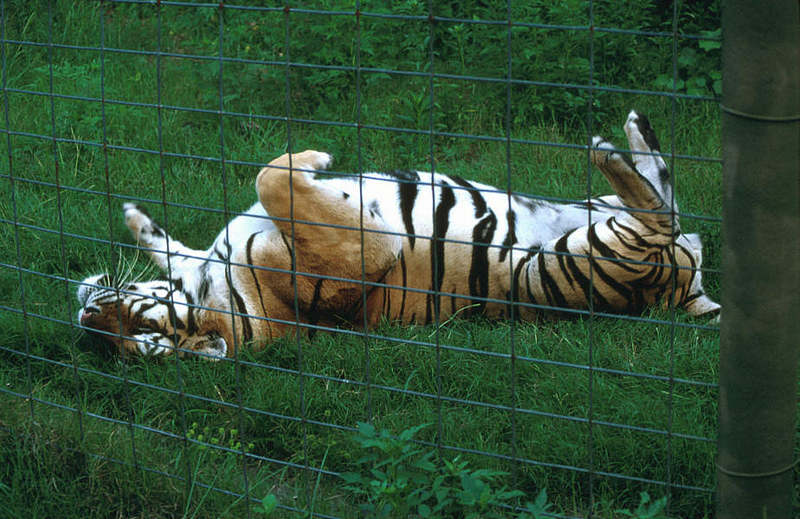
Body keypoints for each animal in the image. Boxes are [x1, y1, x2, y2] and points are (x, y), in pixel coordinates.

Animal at [78, 111, 720, 360]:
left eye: (139, 328)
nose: (86, 316)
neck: (213, 293)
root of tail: (687, 295)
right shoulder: (362, 248)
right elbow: (271, 178)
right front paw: (319, 159)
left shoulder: (217, 250)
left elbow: (183, 238)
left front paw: (135, 217)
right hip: (580, 259)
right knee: (661, 220)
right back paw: (613, 147)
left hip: (598, 216)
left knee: (668, 197)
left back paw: (636, 134)